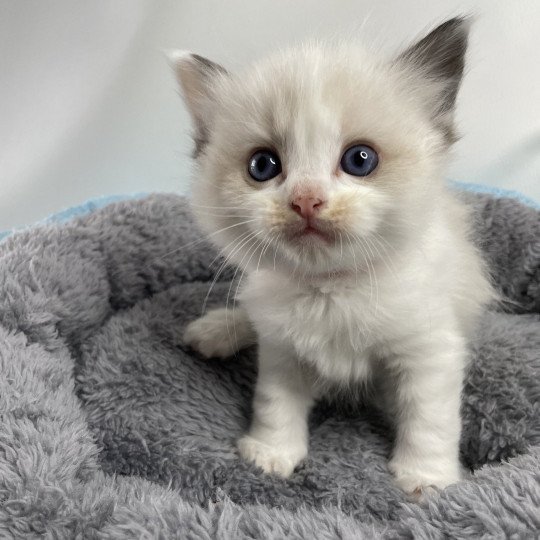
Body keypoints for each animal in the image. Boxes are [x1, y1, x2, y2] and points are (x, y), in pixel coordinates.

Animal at [172, 15, 494, 498]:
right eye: (263, 166)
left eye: (360, 159)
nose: (306, 200)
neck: (331, 289)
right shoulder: (282, 348)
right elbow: (275, 402)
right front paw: (271, 454)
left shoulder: (429, 350)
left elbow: (429, 419)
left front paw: (426, 479)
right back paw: (214, 332)